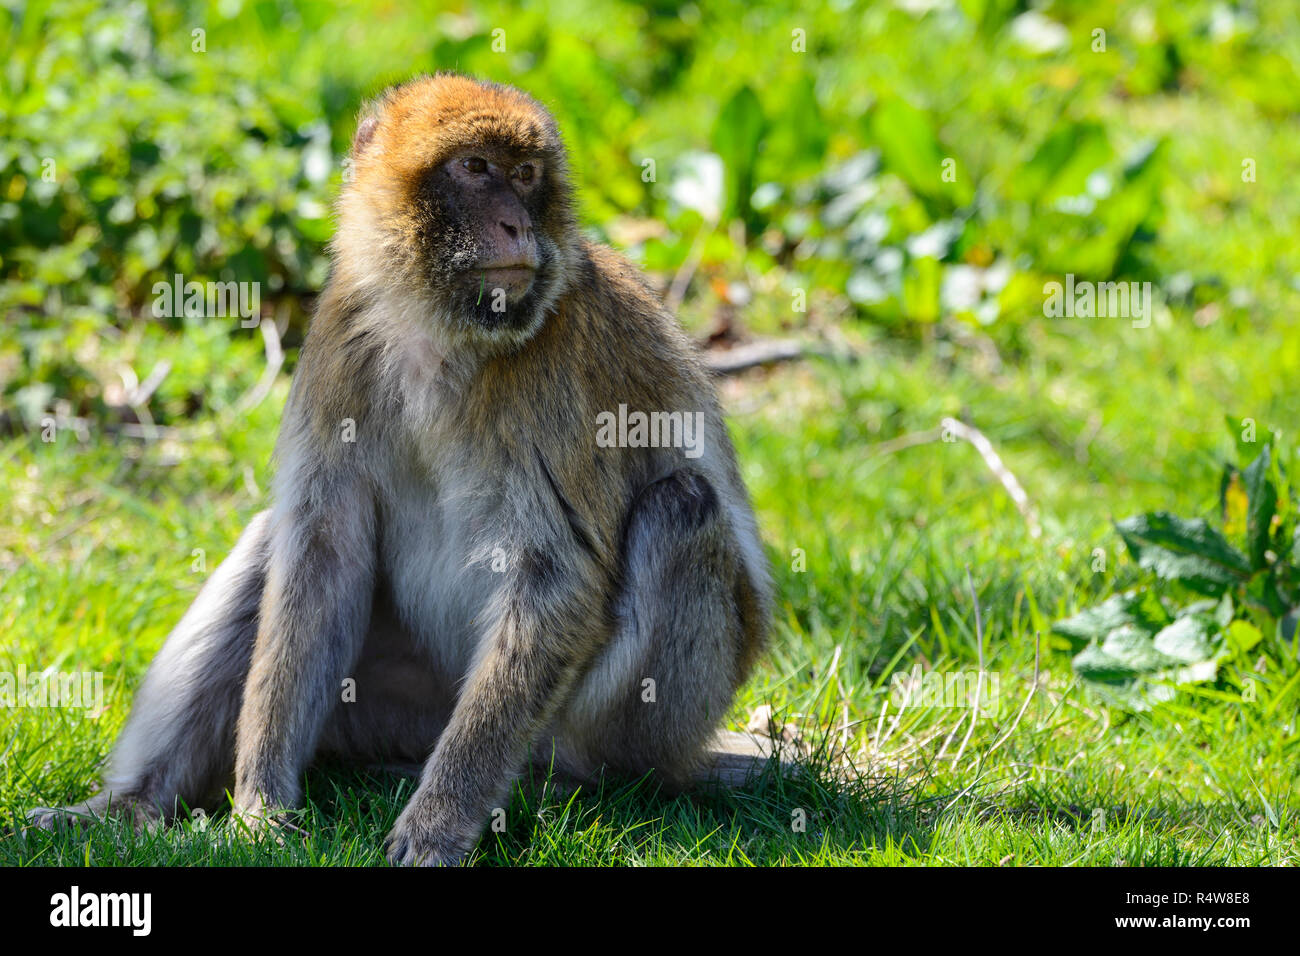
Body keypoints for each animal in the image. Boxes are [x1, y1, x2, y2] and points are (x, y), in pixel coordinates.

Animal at [29, 73, 773, 866]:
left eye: (526, 175)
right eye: (476, 169)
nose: (517, 226)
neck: (438, 332)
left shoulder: (561, 369)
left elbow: (556, 579)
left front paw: (437, 825)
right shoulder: (340, 334)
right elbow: (320, 551)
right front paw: (261, 808)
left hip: (623, 724)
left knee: (681, 507)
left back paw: (559, 783)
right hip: (397, 707)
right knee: (274, 542)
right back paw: (129, 806)